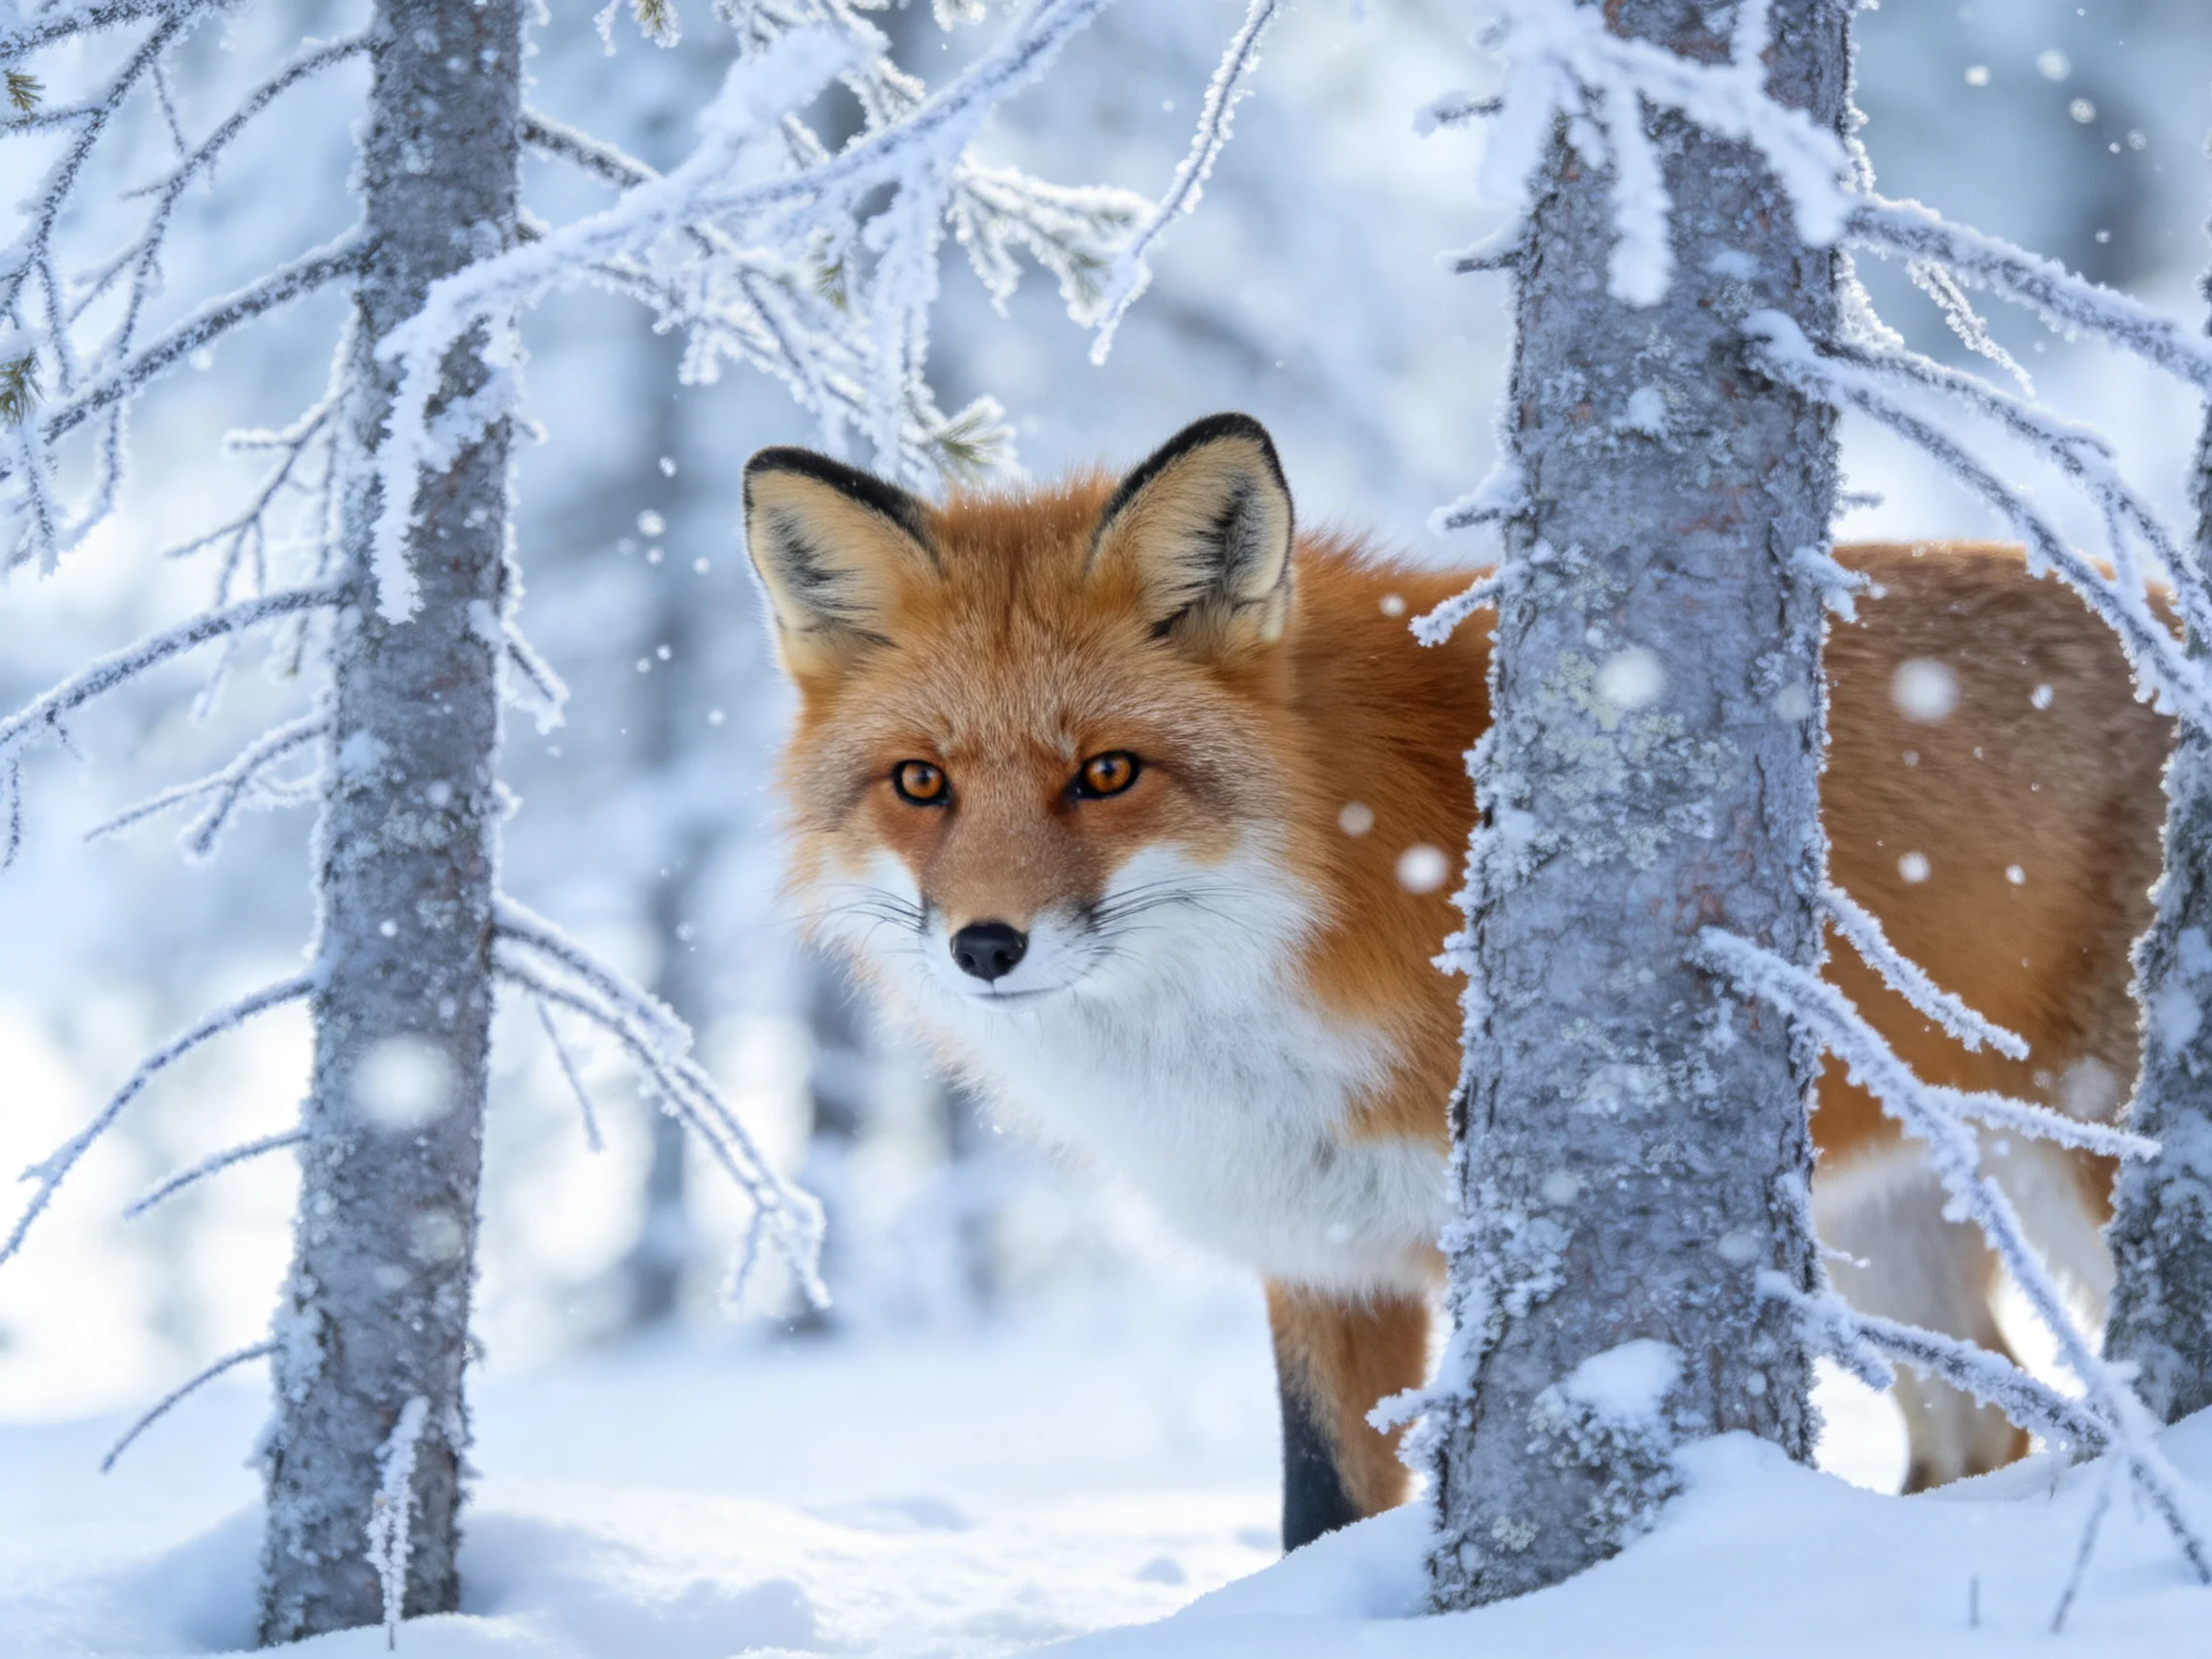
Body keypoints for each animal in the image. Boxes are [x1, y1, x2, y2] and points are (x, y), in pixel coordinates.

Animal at [741, 411, 2171, 1549]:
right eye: (921, 782)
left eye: (1107, 773)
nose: (986, 944)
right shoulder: (1324, 1256)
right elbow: (1319, 1506)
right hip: (1873, 1217)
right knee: (1985, 1432)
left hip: (2083, 1163)